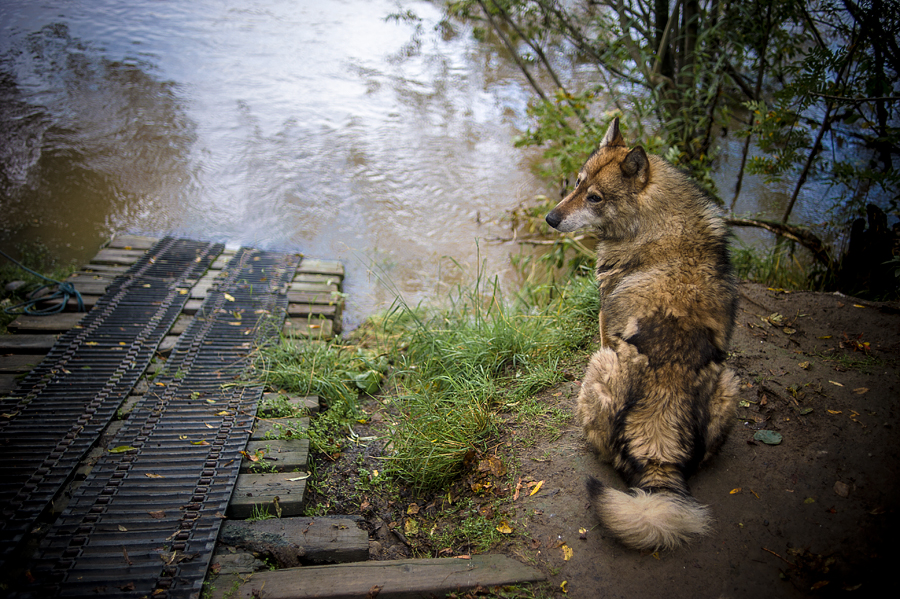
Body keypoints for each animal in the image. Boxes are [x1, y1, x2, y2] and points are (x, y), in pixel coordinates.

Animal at [546, 118, 739, 551]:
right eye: (577, 183)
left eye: (595, 198)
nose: (550, 218)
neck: (655, 221)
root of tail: (658, 452)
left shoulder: (605, 322)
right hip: (731, 383)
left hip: (598, 366)